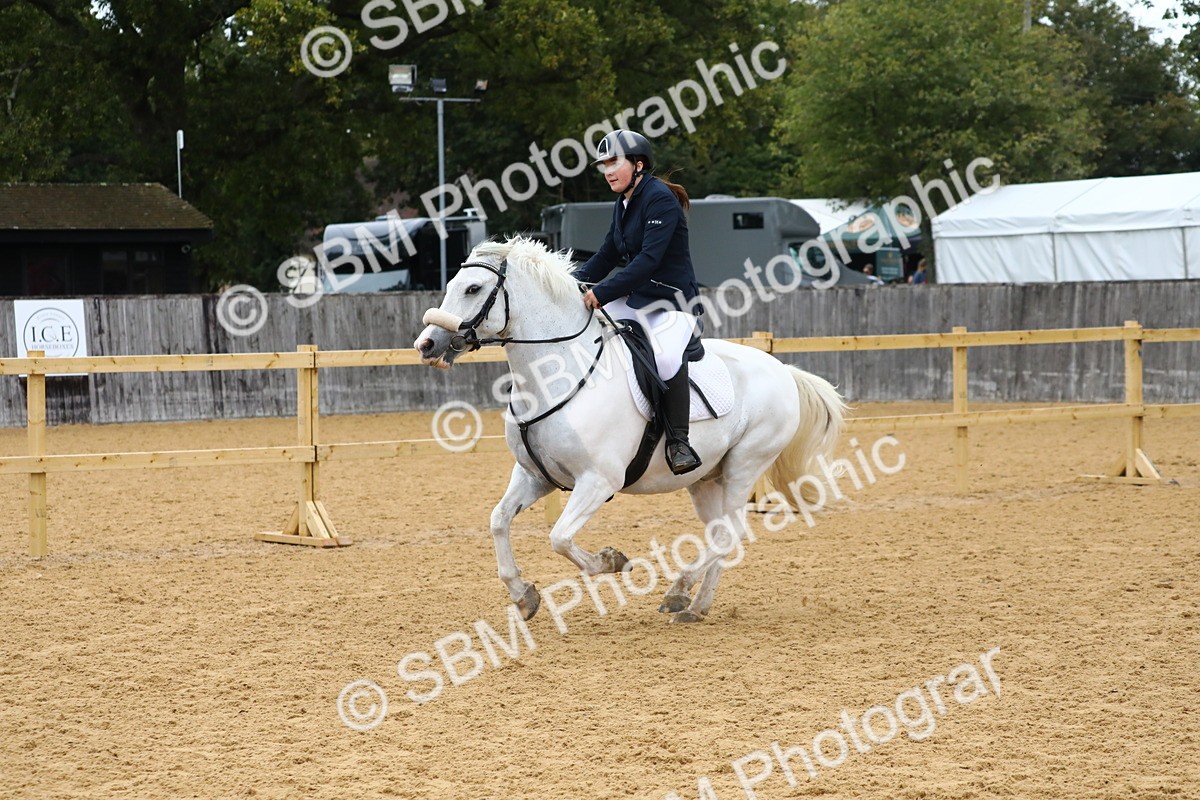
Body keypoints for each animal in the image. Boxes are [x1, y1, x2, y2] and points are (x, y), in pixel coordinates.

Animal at [413, 236, 846, 623]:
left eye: (473, 288)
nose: (427, 344)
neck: (558, 372)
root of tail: (782, 369)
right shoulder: (535, 476)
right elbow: (499, 521)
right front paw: (524, 596)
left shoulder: (598, 481)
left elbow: (560, 538)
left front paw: (611, 561)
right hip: (707, 478)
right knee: (722, 533)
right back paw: (695, 605)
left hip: (745, 464)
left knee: (730, 532)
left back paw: (679, 592)